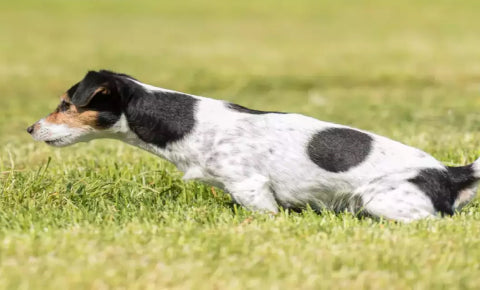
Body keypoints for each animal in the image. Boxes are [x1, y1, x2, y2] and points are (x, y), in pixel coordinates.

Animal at [27, 70, 480, 222]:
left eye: (66, 104)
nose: (30, 128)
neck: (187, 122)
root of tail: (451, 174)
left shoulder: (250, 187)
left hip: (384, 200)